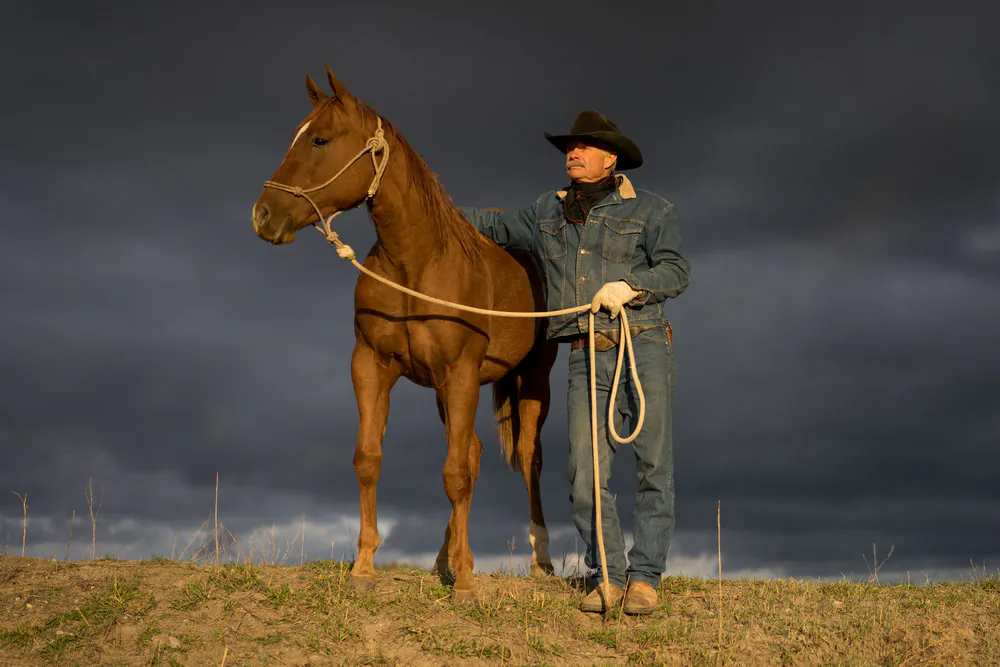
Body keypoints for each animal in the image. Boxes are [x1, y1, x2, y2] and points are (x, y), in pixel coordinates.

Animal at [251, 66, 558, 602]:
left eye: (319, 138)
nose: (263, 214)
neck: (417, 262)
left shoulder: (460, 374)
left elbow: (455, 475)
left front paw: (465, 586)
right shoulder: (372, 366)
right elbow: (369, 459)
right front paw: (363, 569)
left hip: (529, 380)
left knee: (525, 457)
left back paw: (538, 561)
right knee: (474, 453)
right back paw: (449, 556)